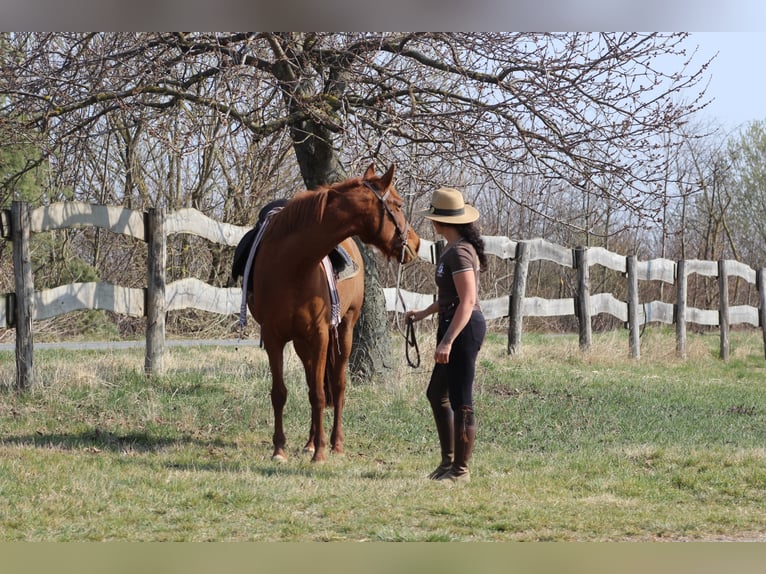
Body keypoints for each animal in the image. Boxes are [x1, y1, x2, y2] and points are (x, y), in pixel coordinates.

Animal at [246, 162, 424, 464]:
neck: (293, 264)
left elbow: (320, 394)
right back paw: (308, 442)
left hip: (343, 329)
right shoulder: (273, 338)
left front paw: (320, 452)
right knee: (311, 383)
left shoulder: (319, 335)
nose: (416, 243)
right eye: (398, 204)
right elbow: (280, 393)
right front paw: (280, 449)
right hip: (302, 342)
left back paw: (334, 443)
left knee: (337, 386)